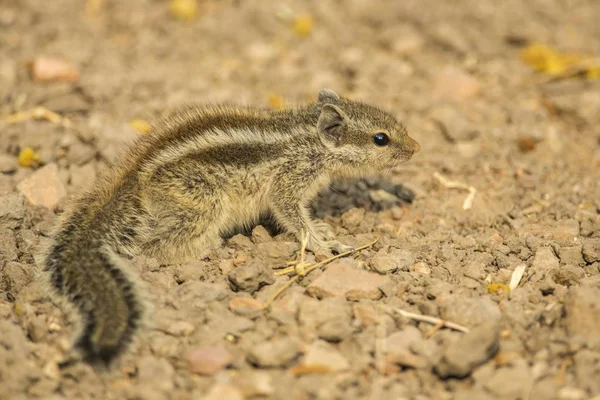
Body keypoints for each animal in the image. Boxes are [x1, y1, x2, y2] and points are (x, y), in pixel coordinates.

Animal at [43, 90, 422, 366]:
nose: (417, 147)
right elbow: (291, 213)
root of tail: (134, 180)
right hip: (205, 202)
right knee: (155, 248)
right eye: (380, 138)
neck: (308, 138)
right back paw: (211, 248)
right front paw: (321, 242)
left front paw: (323, 233)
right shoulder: (289, 181)